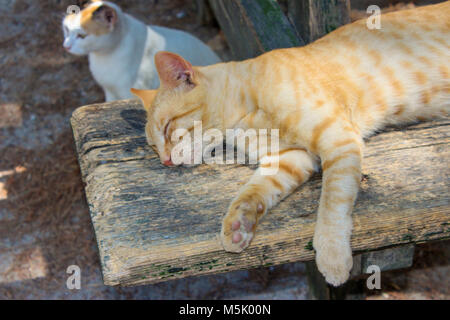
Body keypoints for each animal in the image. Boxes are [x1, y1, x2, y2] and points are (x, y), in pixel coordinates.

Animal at [132, 1, 448, 288]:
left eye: (168, 127)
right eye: (153, 147)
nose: (165, 160)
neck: (246, 111)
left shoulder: (339, 138)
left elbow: (333, 201)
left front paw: (332, 254)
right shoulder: (289, 158)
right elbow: (254, 191)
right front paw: (239, 224)